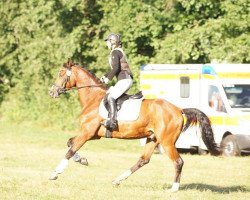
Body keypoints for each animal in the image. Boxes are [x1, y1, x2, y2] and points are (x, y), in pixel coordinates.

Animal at [47, 59, 220, 192]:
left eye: (61, 73)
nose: (52, 92)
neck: (93, 98)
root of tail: (179, 110)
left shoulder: (87, 133)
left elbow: (70, 150)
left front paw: (55, 173)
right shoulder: (93, 135)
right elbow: (70, 143)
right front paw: (82, 160)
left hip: (167, 142)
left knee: (178, 162)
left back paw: (174, 189)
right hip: (153, 138)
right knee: (143, 160)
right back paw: (118, 180)